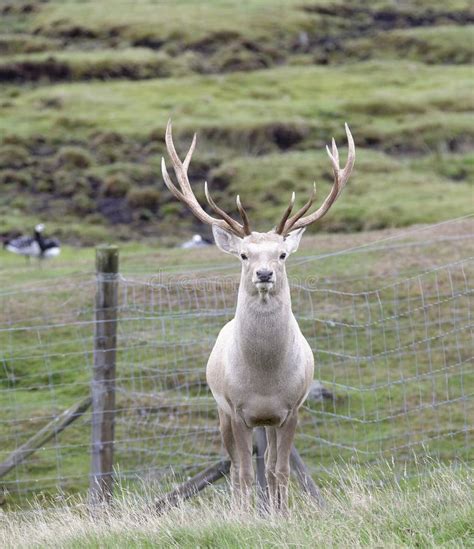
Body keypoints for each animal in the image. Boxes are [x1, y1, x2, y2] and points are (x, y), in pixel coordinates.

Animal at [161, 120, 354, 510]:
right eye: (244, 255)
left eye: (282, 254)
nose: (264, 274)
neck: (264, 380)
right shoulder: (236, 409)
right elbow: (245, 473)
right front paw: (246, 515)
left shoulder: (292, 408)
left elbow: (279, 471)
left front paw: (282, 514)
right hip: (221, 409)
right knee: (237, 470)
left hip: (269, 422)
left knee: (268, 463)